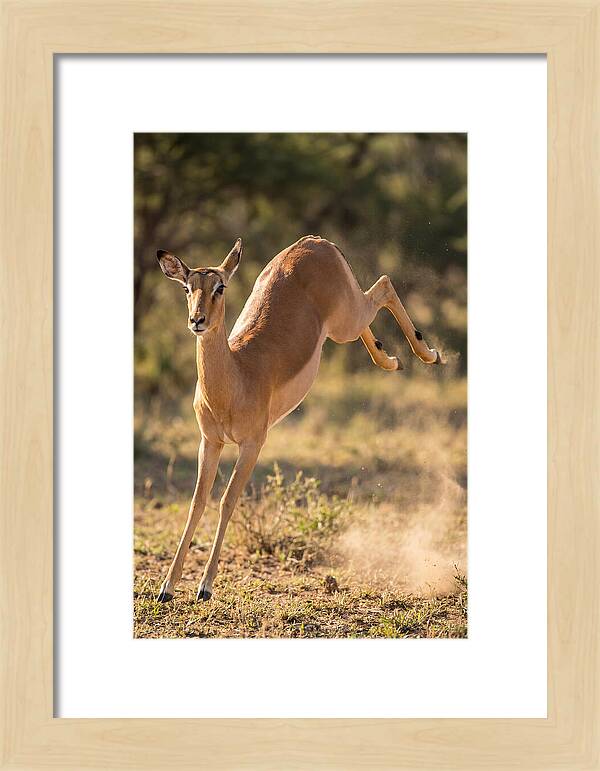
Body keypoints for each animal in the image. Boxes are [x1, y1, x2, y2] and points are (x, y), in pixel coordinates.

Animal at [156, 235, 442, 602]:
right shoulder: (210, 442)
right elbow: (196, 503)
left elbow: (227, 501)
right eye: (187, 288)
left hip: (346, 319)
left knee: (384, 284)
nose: (197, 321)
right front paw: (167, 587)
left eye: (220, 287)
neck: (236, 376)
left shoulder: (252, 444)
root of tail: (315, 241)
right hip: (343, 323)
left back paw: (429, 354)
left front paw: (205, 587)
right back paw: (391, 359)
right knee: (374, 306)